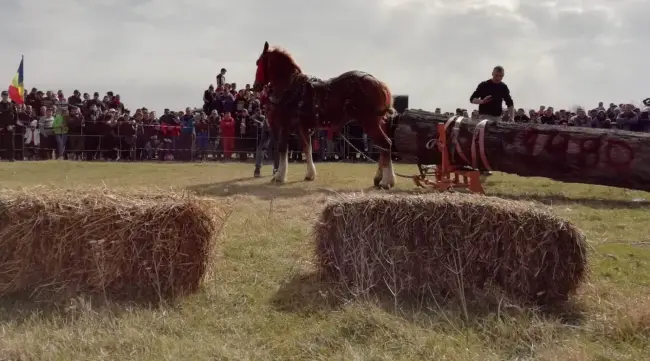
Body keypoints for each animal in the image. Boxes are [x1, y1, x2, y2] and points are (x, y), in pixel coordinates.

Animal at [252, 41, 394, 188]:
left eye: (258, 62)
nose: (256, 86)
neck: (291, 88)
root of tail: (379, 83)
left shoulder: (285, 125)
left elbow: (282, 149)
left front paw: (279, 175)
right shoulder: (302, 127)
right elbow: (307, 148)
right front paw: (310, 174)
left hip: (370, 122)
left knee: (385, 145)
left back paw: (386, 181)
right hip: (377, 123)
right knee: (383, 147)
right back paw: (380, 178)